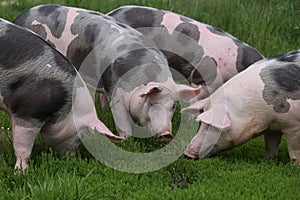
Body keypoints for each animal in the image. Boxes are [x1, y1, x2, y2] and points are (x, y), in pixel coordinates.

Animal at [14, 5, 202, 142]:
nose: (167, 134)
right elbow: (122, 122)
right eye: (151, 103)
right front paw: (126, 141)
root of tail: (23, 15)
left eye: (173, 106)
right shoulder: (116, 93)